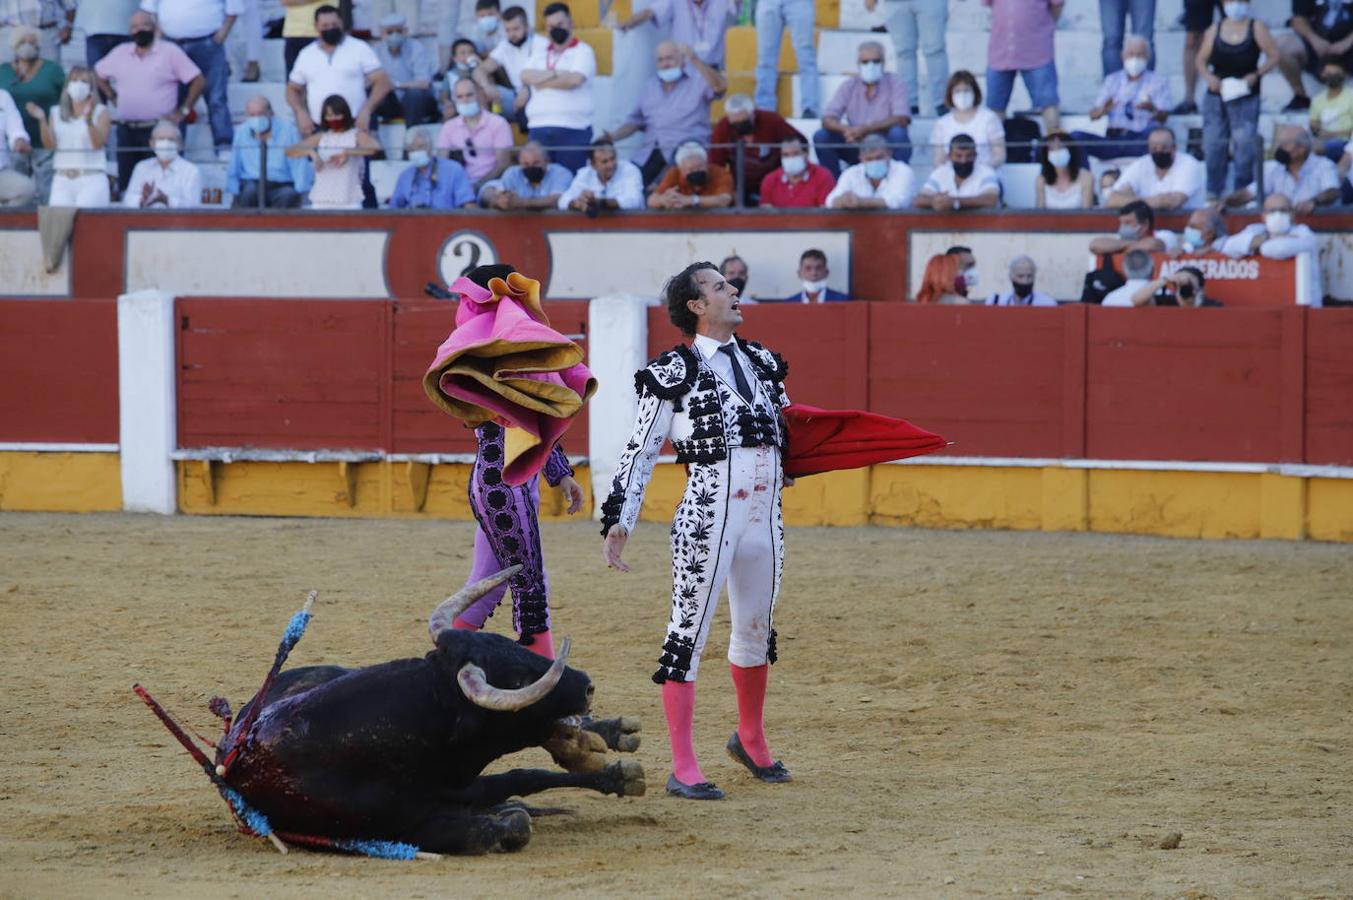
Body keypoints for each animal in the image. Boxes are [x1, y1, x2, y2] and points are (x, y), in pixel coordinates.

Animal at [137, 568, 644, 855]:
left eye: (511, 643)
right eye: (517, 678)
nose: (587, 684)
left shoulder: (463, 780)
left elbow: (526, 777)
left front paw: (618, 774)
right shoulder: (418, 818)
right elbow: (508, 820)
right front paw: (514, 810)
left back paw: (603, 734)